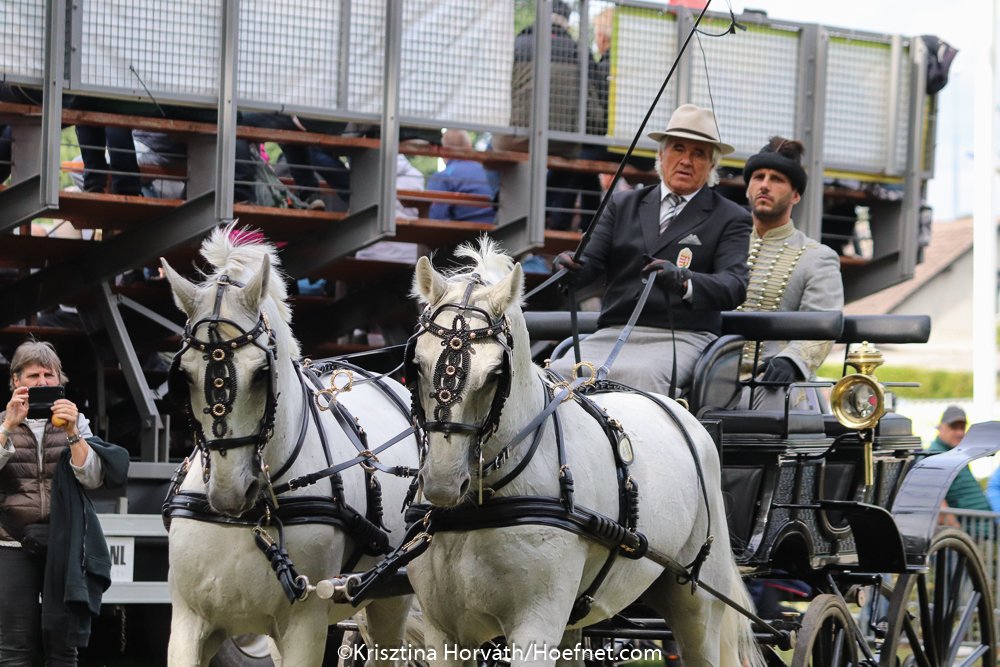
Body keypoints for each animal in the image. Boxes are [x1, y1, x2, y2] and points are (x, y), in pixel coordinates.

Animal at [161, 226, 419, 667]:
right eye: (185, 376)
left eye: (261, 372)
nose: (230, 493)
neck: (250, 517)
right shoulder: (188, 624)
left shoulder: (306, 626)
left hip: (392, 596)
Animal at [405, 239, 764, 667]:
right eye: (417, 363)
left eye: (495, 373)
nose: (442, 484)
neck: (481, 505)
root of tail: (680, 409)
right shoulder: (443, 632)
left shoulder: (536, 625)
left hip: (699, 604)